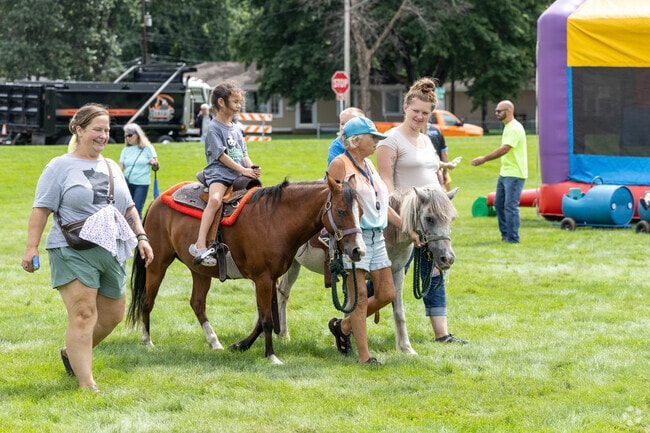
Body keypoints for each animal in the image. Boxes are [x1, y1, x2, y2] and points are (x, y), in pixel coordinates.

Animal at [126, 173, 365, 364]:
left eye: (361, 211)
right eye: (341, 211)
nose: (358, 250)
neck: (276, 219)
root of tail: (158, 200)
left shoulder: (270, 278)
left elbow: (263, 318)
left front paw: (240, 345)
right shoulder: (263, 278)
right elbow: (267, 320)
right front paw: (271, 355)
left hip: (200, 272)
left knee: (197, 304)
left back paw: (214, 342)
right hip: (157, 264)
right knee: (147, 301)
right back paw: (147, 340)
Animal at [276, 186, 457, 354]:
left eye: (451, 219)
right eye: (429, 218)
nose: (447, 258)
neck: (386, 234)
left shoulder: (396, 273)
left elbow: (398, 311)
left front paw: (406, 348)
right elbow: (352, 308)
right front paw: (342, 341)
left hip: (294, 266)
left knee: (283, 293)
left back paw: (283, 334)